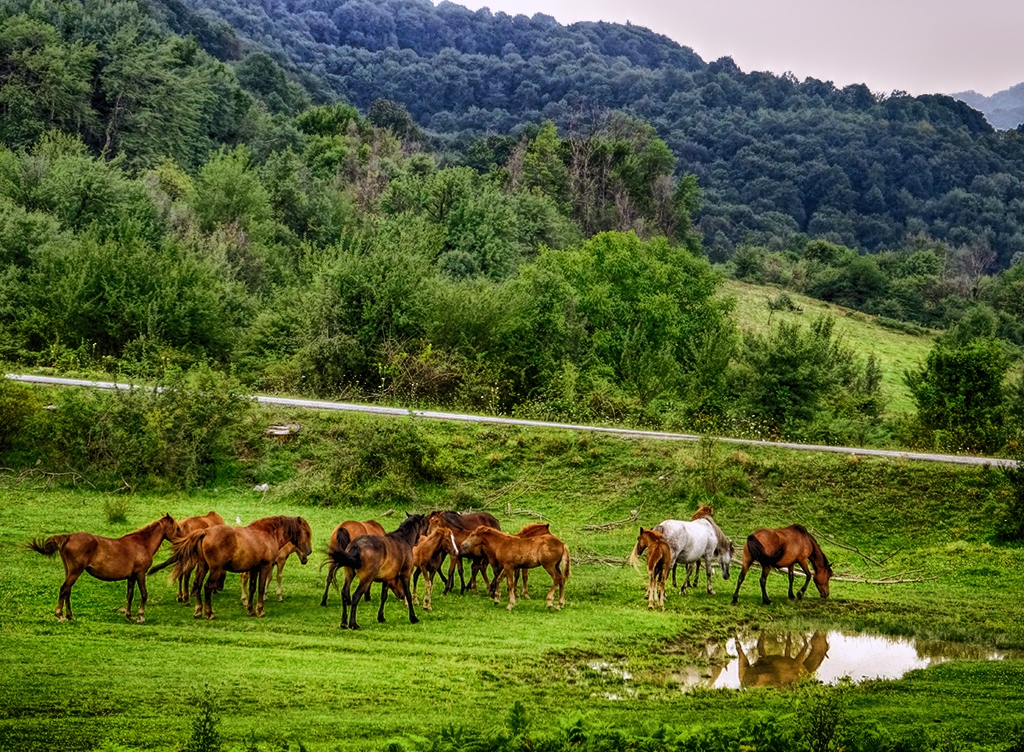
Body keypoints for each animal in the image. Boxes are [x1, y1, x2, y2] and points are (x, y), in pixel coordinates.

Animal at [26, 516, 178, 627]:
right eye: (176, 528)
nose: (180, 541)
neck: (142, 544)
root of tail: (69, 536)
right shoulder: (140, 574)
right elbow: (144, 594)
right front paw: (140, 617)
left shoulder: (131, 577)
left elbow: (130, 595)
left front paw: (129, 616)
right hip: (75, 571)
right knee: (64, 589)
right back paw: (60, 615)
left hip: (69, 571)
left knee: (67, 591)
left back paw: (70, 616)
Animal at [172, 516, 309, 622]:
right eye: (307, 533)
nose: (309, 552)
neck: (267, 533)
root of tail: (205, 532)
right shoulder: (265, 567)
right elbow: (261, 588)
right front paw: (260, 610)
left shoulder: (254, 569)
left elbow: (252, 588)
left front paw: (250, 609)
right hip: (215, 569)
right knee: (207, 587)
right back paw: (209, 613)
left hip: (203, 566)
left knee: (197, 584)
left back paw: (198, 611)